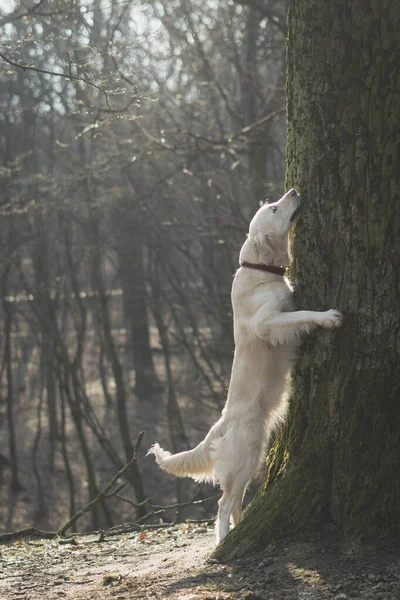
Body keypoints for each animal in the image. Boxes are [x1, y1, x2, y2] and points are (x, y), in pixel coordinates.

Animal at [148, 191, 342, 544]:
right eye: (275, 209)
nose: (293, 191)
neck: (259, 271)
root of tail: (221, 424)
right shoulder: (268, 322)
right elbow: (301, 314)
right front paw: (328, 317)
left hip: (253, 459)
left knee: (236, 503)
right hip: (245, 458)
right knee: (223, 505)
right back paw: (223, 541)